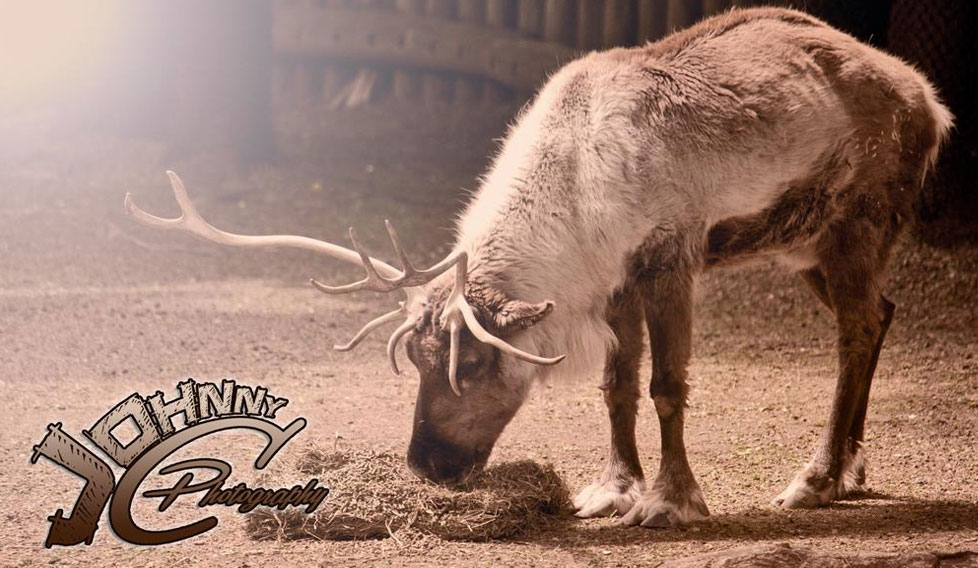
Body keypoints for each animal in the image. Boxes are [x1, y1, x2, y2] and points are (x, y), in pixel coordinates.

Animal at [125, 7, 951, 528]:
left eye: (472, 365)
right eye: (416, 359)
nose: (428, 466)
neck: (579, 182)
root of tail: (929, 98)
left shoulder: (671, 258)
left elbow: (667, 386)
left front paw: (670, 501)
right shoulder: (609, 283)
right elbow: (616, 388)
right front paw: (613, 489)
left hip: (855, 226)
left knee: (856, 330)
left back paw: (817, 477)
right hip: (803, 247)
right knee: (882, 315)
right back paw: (851, 471)